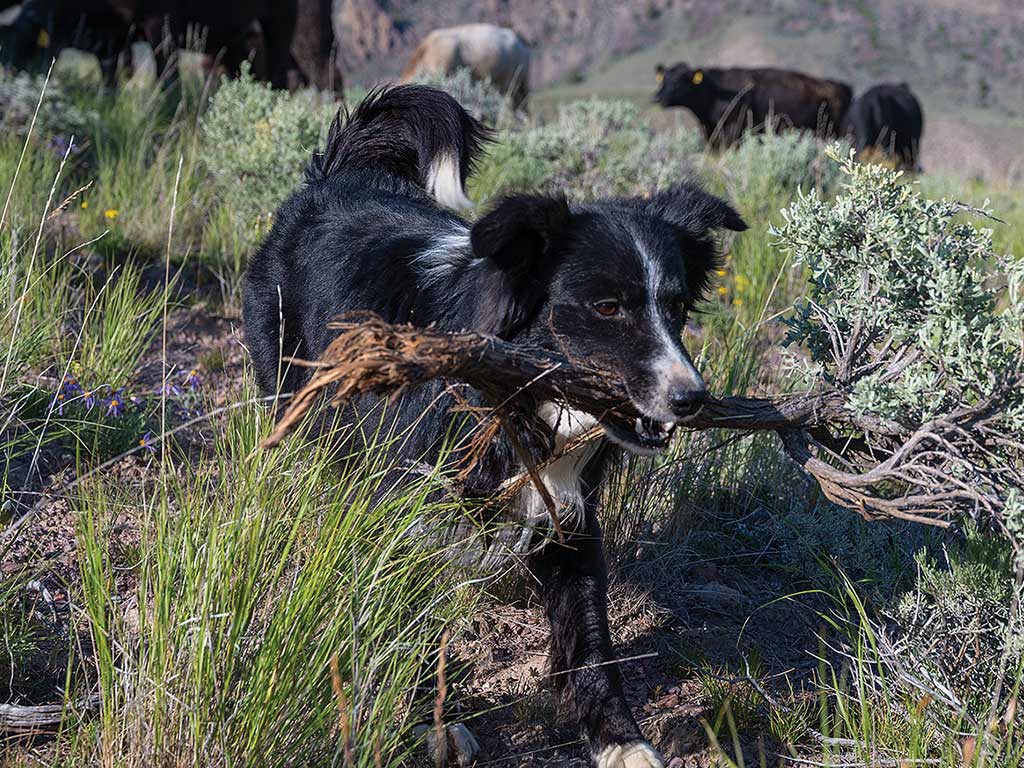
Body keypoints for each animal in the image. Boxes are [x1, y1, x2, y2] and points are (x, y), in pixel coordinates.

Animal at [243, 85, 749, 768]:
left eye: (674, 308)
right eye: (607, 307)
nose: (691, 398)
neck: (523, 405)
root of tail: (334, 178)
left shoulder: (570, 514)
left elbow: (591, 639)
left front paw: (620, 741)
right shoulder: (407, 514)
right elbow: (410, 621)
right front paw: (433, 726)